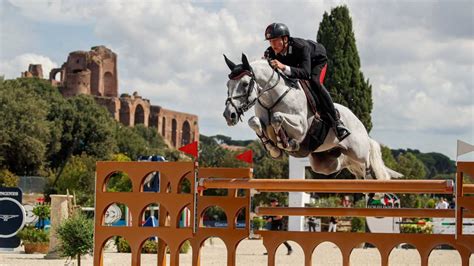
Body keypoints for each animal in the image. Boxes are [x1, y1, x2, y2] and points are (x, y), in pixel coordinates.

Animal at [222, 52, 400, 180]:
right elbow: (254, 122)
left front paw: (286, 143)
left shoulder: (301, 127)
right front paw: (273, 148)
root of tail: (359, 123)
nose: (229, 115)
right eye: (228, 85)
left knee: (368, 158)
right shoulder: (261, 119)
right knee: (345, 164)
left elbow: (277, 117)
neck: (272, 96)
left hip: (358, 149)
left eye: (245, 84)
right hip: (325, 162)